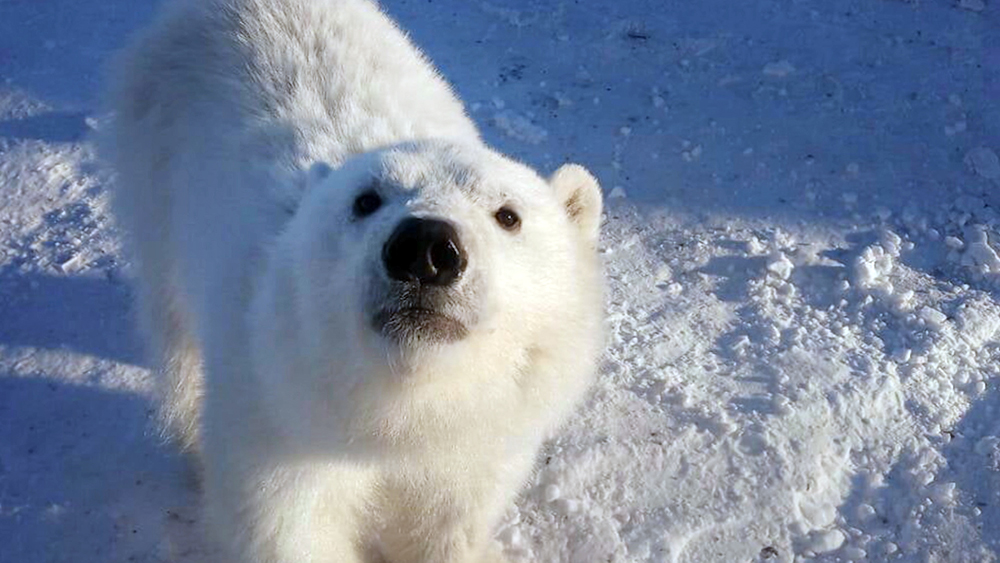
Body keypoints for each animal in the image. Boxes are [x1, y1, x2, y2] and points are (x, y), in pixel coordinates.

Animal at [101, 1, 600, 563]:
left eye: (507, 214)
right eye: (365, 199)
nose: (425, 249)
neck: (392, 415)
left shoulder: (475, 448)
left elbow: (444, 527)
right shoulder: (276, 423)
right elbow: (288, 530)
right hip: (155, 173)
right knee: (175, 325)